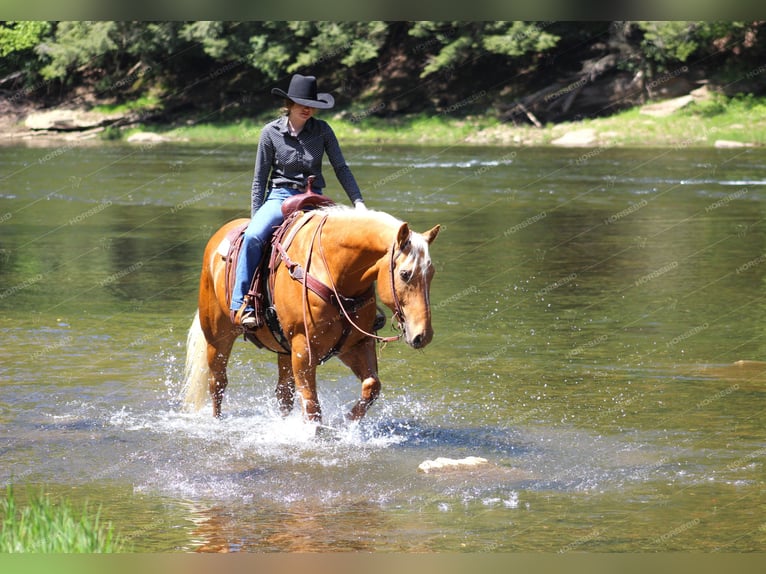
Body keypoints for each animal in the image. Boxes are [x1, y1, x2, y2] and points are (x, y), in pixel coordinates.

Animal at [182, 208, 440, 428]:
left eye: (432, 273)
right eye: (405, 274)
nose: (423, 335)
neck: (334, 274)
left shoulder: (354, 344)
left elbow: (372, 386)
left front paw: (346, 423)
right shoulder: (303, 349)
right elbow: (312, 406)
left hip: (283, 349)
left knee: (283, 392)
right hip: (218, 338)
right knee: (218, 382)